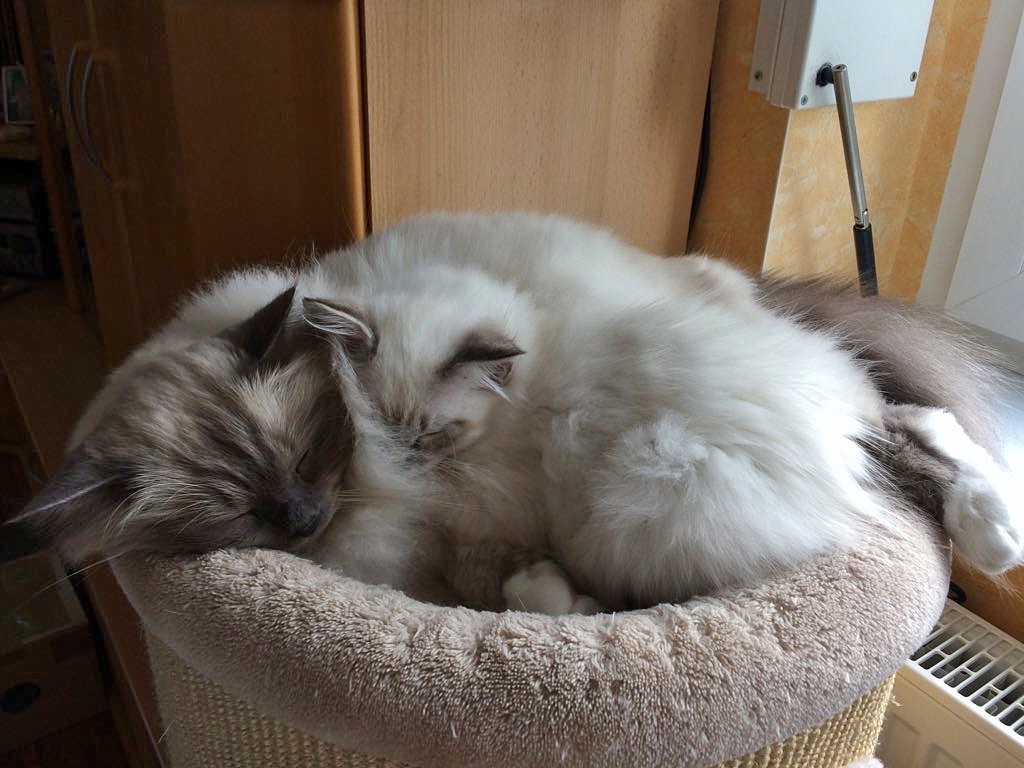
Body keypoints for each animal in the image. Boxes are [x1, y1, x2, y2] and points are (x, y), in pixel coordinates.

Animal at [13, 213, 1022, 613]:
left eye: (304, 457)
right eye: (244, 511)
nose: (303, 519)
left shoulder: (462, 536)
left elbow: (503, 590)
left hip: (631, 514)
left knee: (911, 427)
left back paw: (993, 536)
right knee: (908, 429)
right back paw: (991, 532)